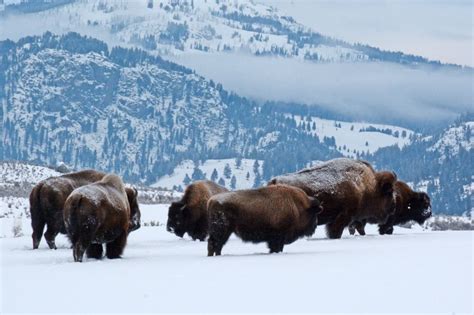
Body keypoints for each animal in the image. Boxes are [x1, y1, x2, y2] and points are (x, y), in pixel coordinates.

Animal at [268, 159, 398, 241]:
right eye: (389, 192)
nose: (393, 206)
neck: (366, 186)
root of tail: (274, 181)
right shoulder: (342, 217)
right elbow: (336, 232)